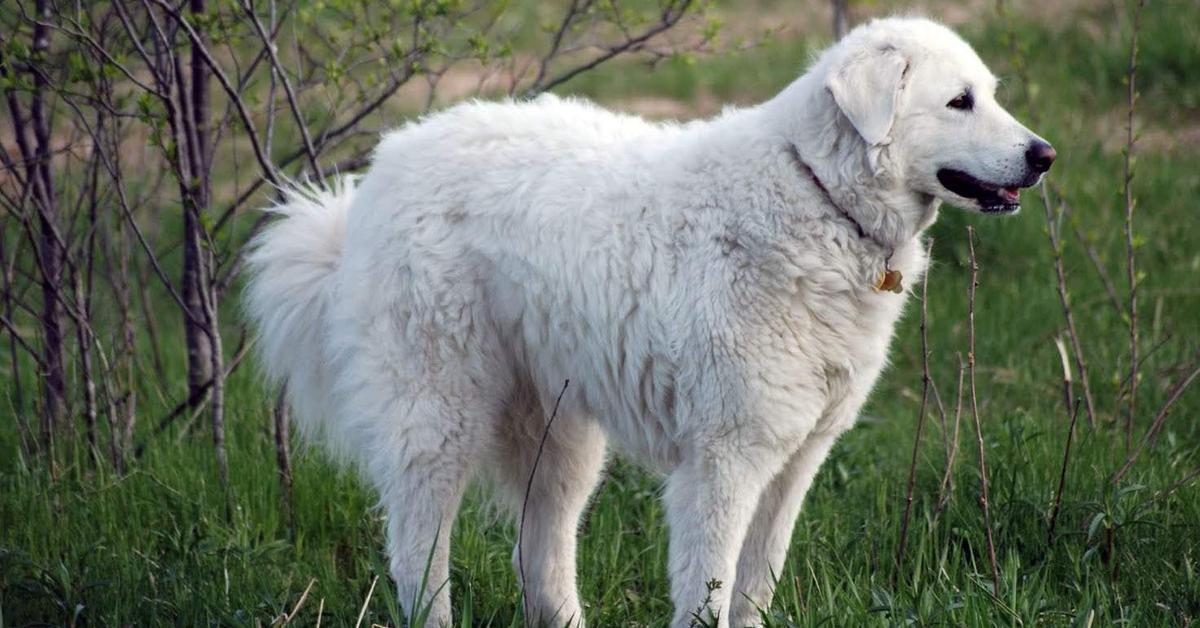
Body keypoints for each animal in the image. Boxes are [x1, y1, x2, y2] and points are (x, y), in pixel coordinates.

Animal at [248, 15, 1056, 628]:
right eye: (958, 102)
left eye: (988, 95)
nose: (1045, 155)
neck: (818, 193)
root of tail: (382, 170)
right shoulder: (725, 462)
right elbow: (710, 592)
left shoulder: (795, 461)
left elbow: (754, 590)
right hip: (439, 419)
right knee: (420, 557)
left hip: (562, 443)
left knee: (541, 555)